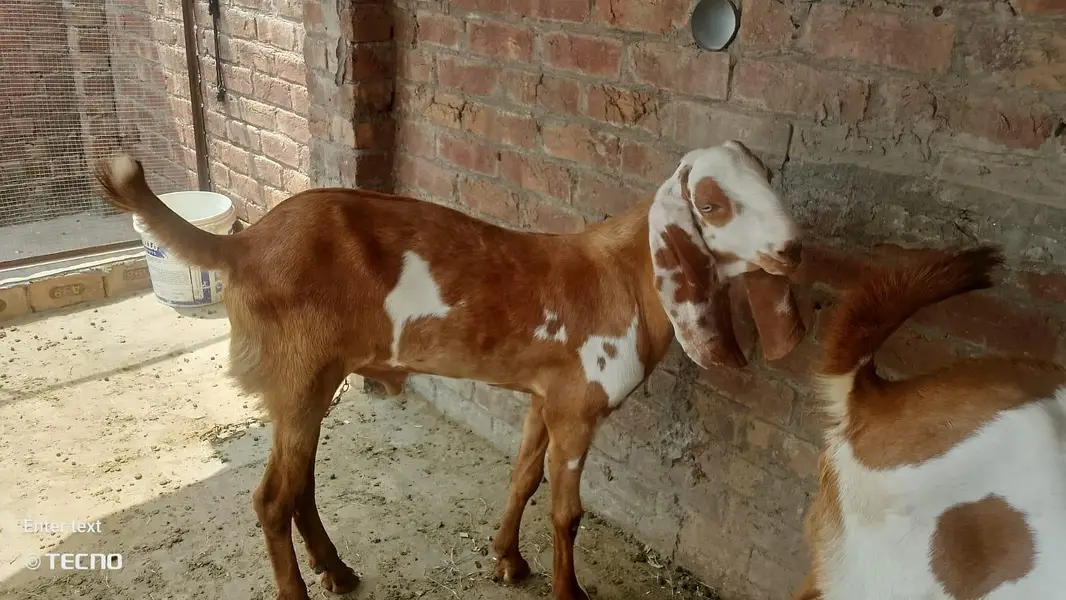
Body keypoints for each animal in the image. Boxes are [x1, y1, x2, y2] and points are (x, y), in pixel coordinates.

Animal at [94, 140, 803, 600]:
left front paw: (507, 561)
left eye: (770, 179)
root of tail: (245, 242)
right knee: (271, 497)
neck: (625, 275)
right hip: (298, 374)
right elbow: (568, 511)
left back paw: (338, 572)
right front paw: (568, 591)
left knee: (300, 486)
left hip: (311, 382)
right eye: (710, 204)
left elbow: (523, 478)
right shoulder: (579, 408)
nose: (793, 250)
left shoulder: (544, 396)